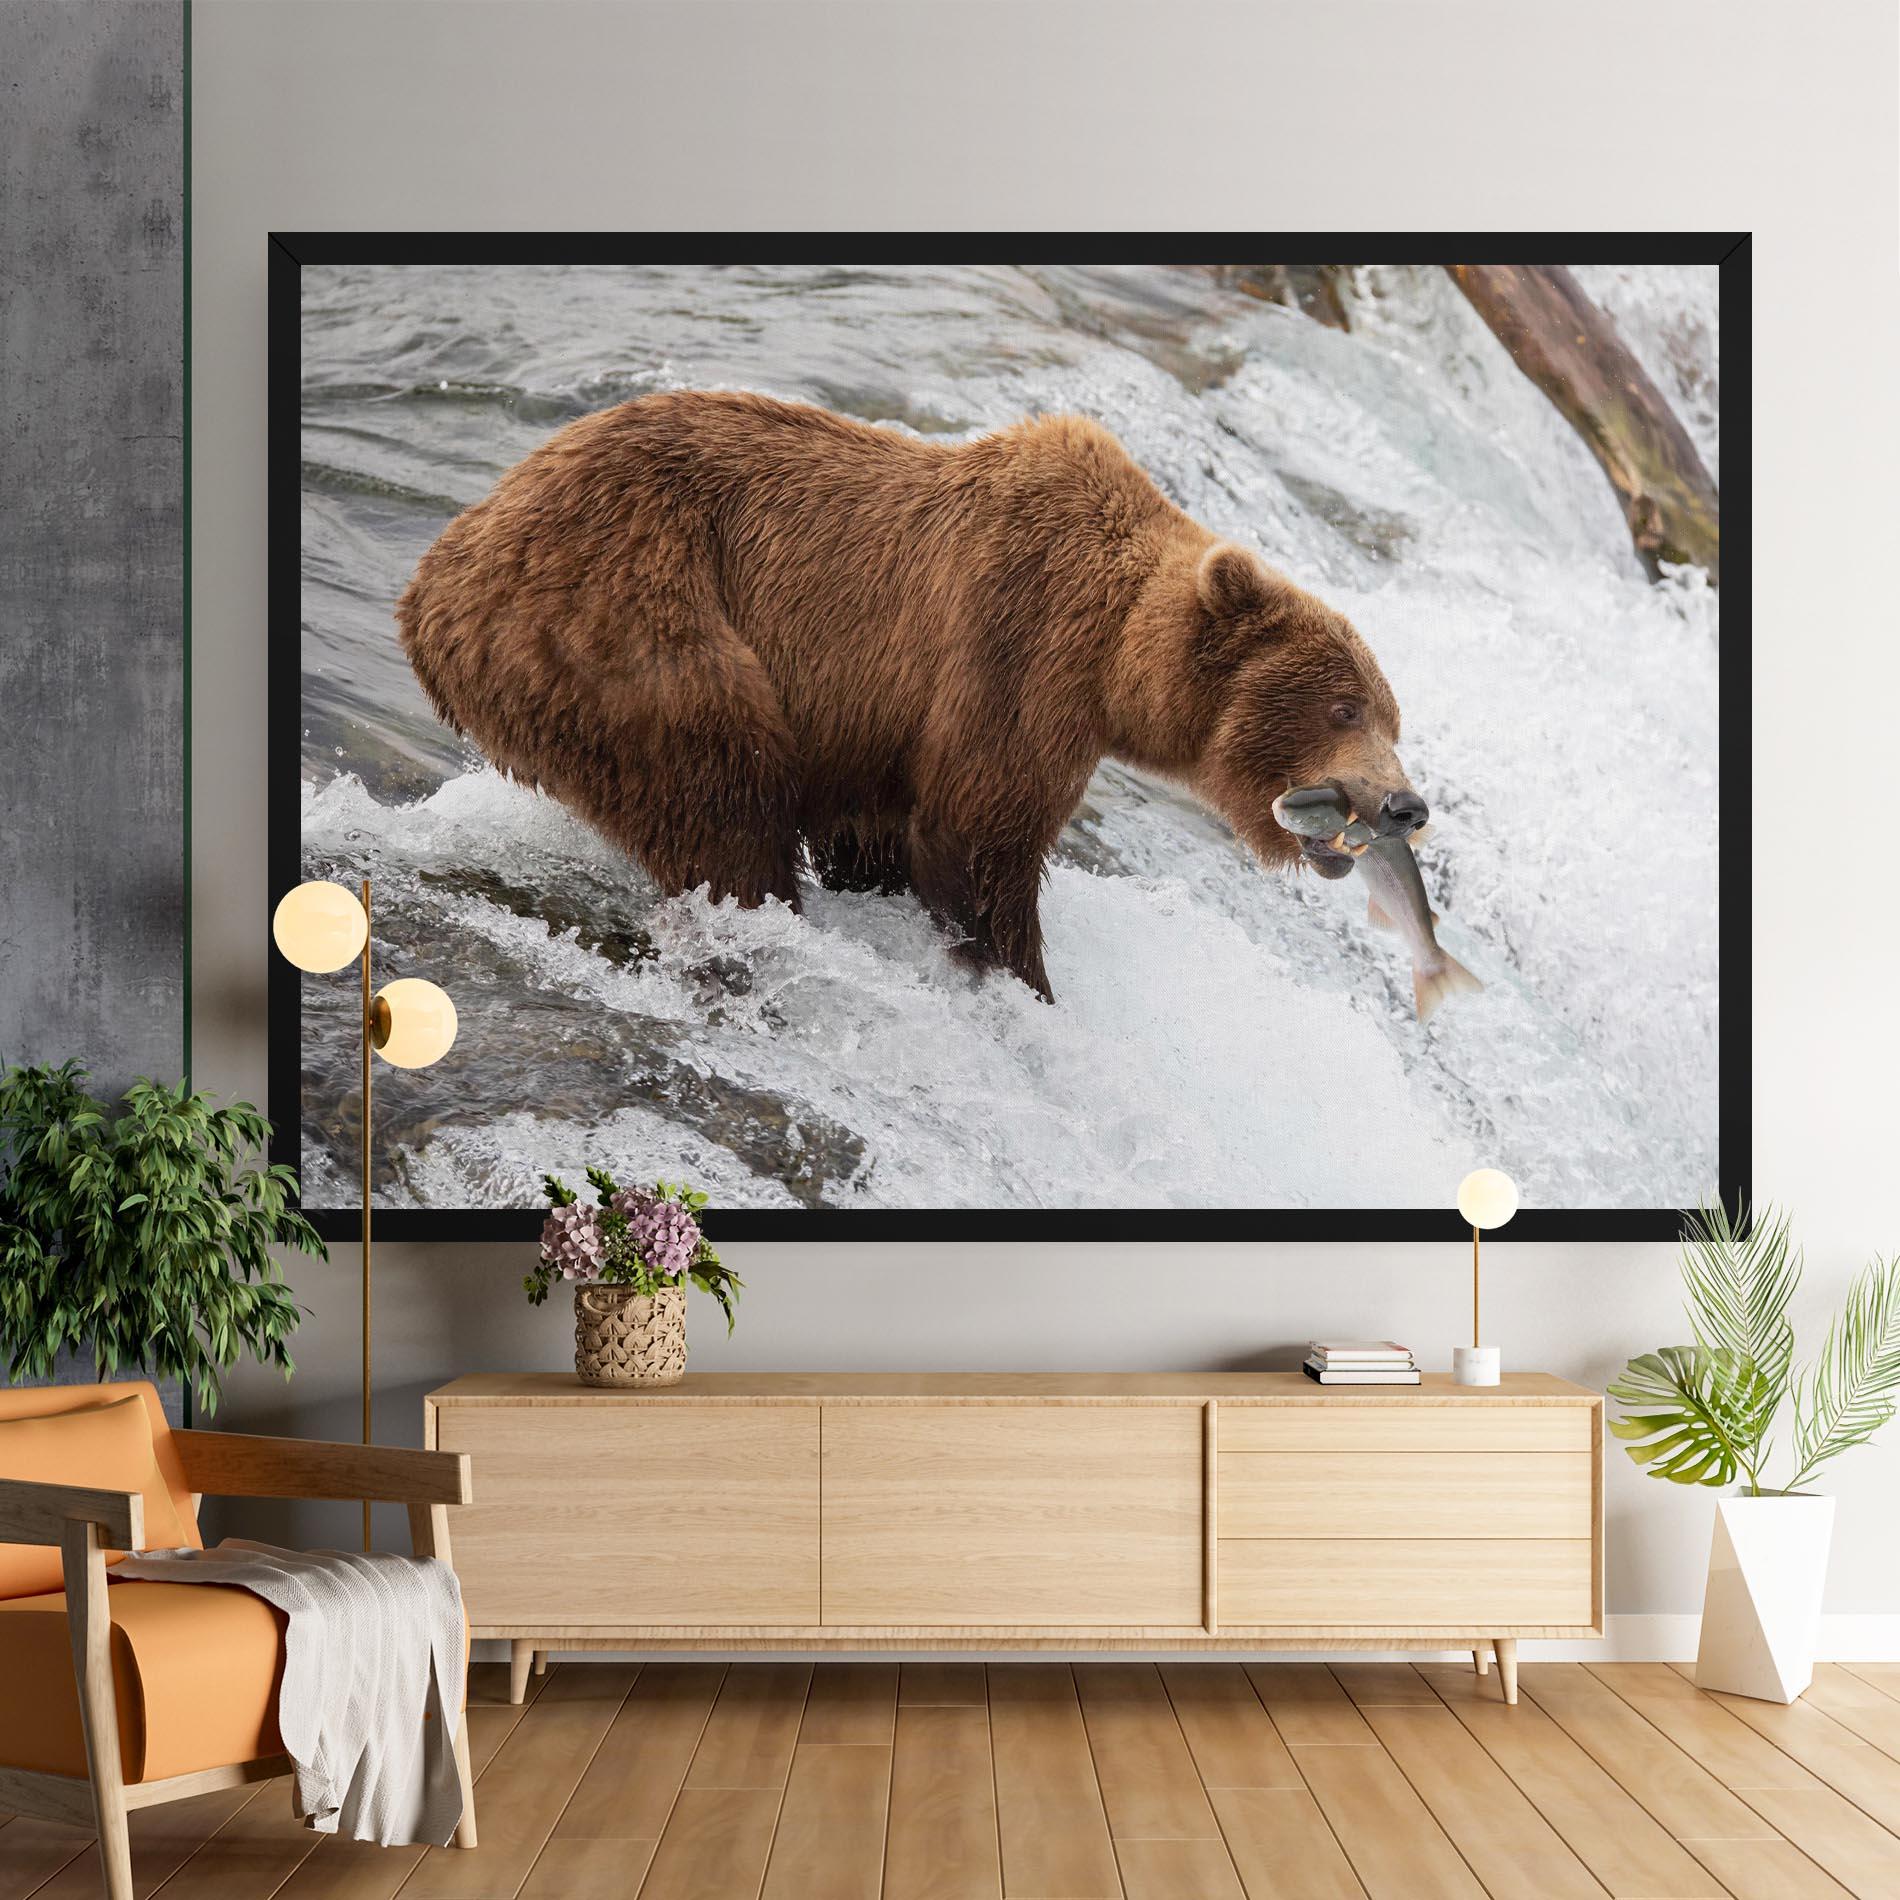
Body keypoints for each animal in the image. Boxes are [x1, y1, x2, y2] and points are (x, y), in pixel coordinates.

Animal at [397, 390, 1426, 1002]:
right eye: (1344, 708)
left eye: (1392, 716)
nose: (1405, 805)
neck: (1115, 656)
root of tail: (435, 579)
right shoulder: (1016, 650)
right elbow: (978, 836)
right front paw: (1023, 980)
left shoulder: (878, 730)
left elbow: (882, 833)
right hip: (627, 620)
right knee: (721, 795)